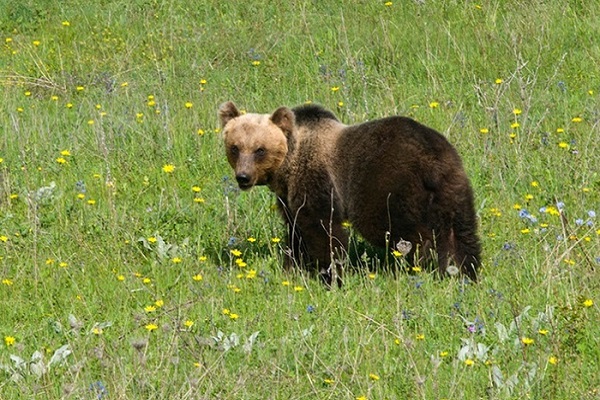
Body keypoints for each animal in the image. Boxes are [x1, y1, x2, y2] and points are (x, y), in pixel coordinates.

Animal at [218, 101, 480, 286]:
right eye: (235, 147)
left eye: (259, 149)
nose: (243, 177)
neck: (288, 165)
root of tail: (433, 161)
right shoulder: (288, 198)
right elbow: (295, 232)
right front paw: (292, 268)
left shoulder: (316, 181)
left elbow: (323, 230)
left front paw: (331, 275)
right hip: (453, 186)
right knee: (460, 233)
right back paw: (464, 271)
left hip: (386, 186)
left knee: (402, 230)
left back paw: (421, 264)